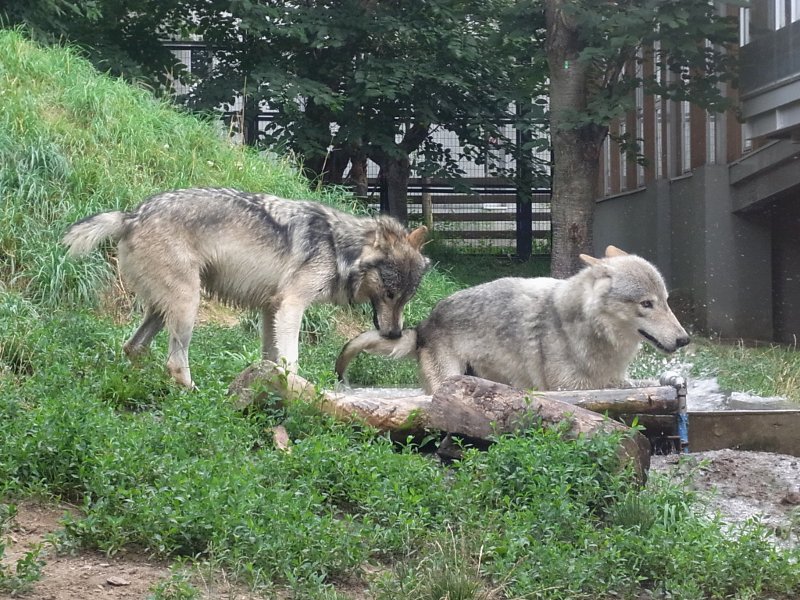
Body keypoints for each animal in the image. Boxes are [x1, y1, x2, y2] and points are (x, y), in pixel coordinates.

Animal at [63, 186, 432, 390]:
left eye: (406, 298)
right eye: (389, 295)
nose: (394, 335)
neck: (339, 246)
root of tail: (131, 215)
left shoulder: (271, 309)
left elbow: (270, 359)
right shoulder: (291, 307)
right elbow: (291, 360)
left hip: (163, 309)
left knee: (133, 347)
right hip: (188, 304)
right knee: (174, 362)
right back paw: (194, 393)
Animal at [334, 245, 692, 394]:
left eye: (666, 302)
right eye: (646, 304)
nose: (684, 339)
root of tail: (424, 324)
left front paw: (674, 379)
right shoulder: (569, 387)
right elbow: (630, 384)